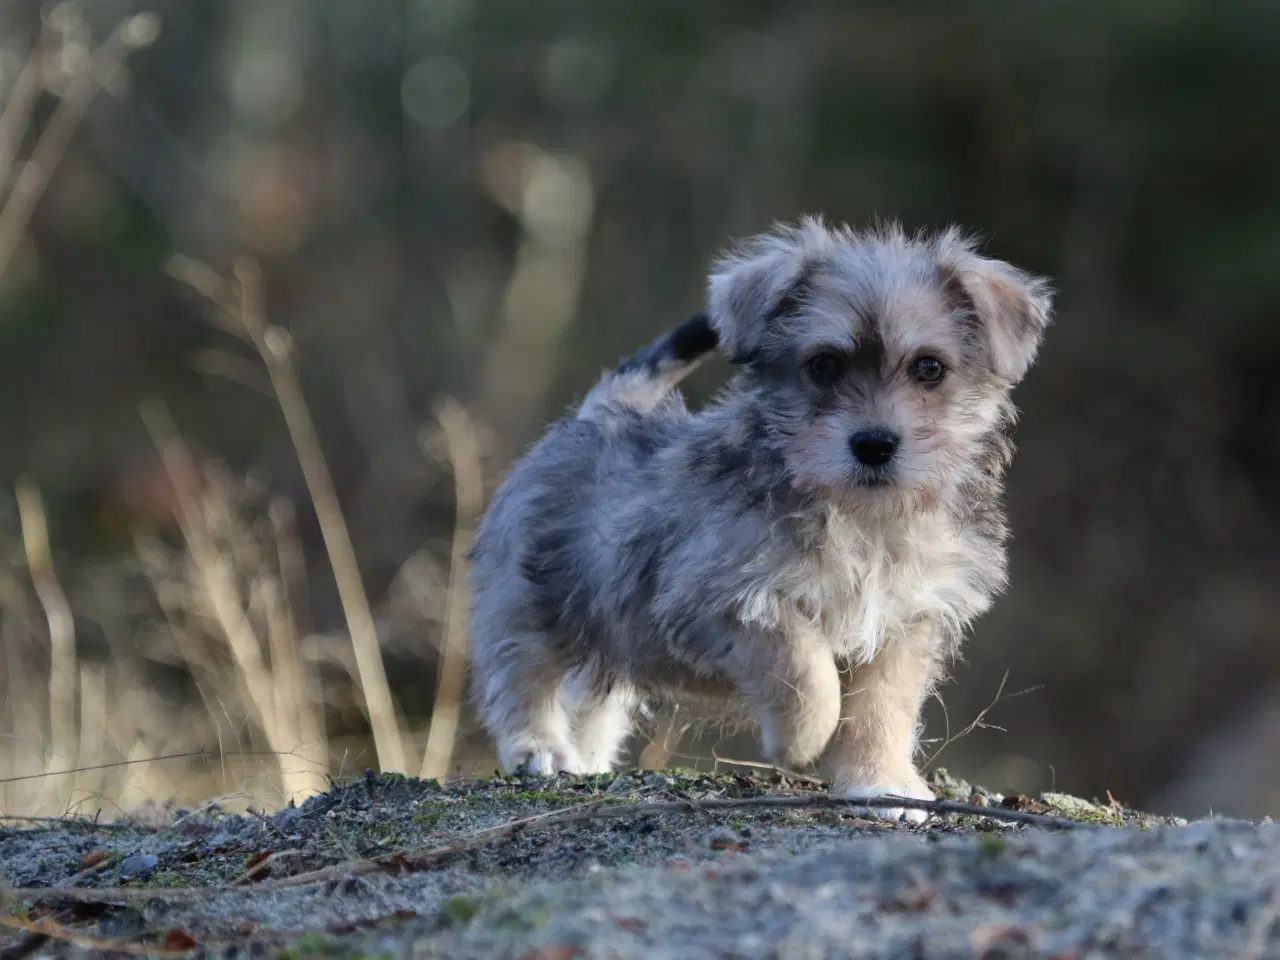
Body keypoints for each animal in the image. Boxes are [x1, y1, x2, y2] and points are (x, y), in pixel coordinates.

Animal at [468, 220, 1049, 829]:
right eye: (823, 365)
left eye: (929, 367)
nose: (873, 444)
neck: (862, 519)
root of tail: (601, 411)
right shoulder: (724, 599)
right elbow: (804, 666)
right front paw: (803, 741)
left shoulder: (906, 623)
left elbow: (882, 708)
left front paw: (879, 781)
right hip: (534, 601)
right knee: (522, 675)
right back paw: (540, 749)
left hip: (615, 635)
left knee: (593, 705)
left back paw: (588, 760)